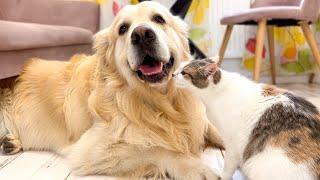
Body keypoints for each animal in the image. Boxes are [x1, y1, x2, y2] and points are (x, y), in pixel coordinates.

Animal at [0, 1, 224, 180]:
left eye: (159, 19)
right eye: (123, 28)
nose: (142, 35)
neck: (158, 100)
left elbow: (214, 128)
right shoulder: (92, 148)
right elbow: (158, 149)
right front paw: (197, 168)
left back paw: (11, 142)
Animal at [174, 56, 320, 180]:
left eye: (184, 72)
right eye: (178, 68)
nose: (173, 74)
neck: (216, 92)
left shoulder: (233, 144)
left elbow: (228, 167)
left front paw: (223, 175)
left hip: (255, 165)